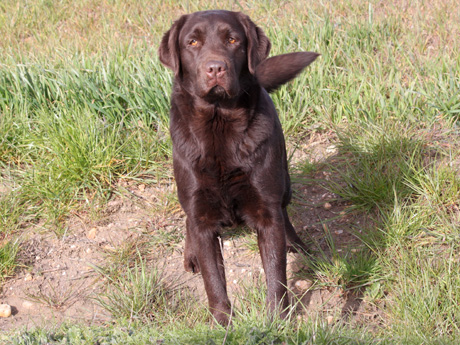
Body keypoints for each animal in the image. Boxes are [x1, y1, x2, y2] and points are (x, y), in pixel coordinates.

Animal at [160, 10, 318, 322]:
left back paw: (295, 244)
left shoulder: (266, 211)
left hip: (284, 181)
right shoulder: (202, 217)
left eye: (232, 40)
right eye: (192, 42)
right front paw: (222, 322)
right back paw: (190, 254)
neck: (219, 122)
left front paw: (277, 320)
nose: (215, 68)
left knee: (284, 211)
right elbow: (213, 280)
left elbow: (275, 272)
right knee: (188, 220)